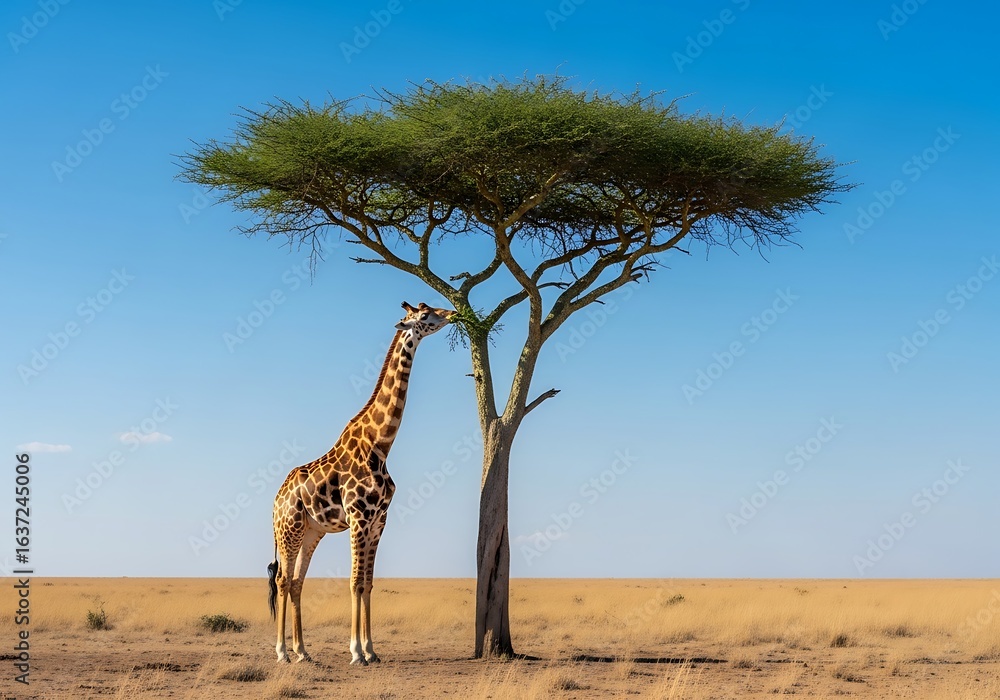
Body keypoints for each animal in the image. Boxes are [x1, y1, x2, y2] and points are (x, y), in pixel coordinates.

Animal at [267, 301, 456, 665]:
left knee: (297, 582)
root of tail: (275, 502)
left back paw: (302, 651)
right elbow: (355, 581)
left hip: (312, 532)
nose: (453, 314)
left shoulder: (379, 520)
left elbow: (368, 583)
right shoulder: (359, 517)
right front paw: (356, 652)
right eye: (426, 314)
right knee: (283, 579)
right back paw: (282, 652)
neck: (380, 444)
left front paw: (372, 650)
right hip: (290, 529)